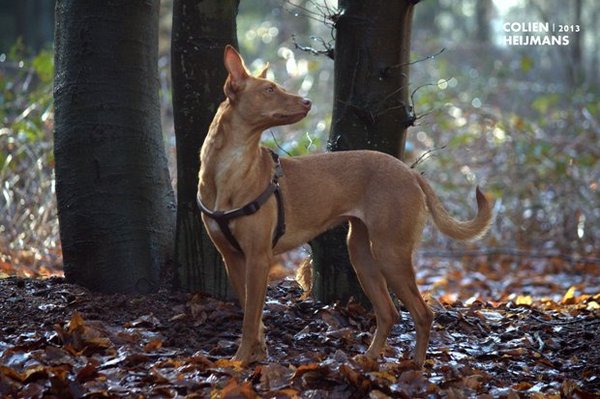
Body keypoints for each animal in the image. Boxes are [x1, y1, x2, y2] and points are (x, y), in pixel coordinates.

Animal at [197, 45, 492, 368]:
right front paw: (257, 355)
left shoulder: (259, 257)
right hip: (361, 253)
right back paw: (370, 357)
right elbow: (252, 314)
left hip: (390, 252)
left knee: (423, 313)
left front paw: (238, 362)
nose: (308, 101)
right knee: (389, 312)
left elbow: (250, 318)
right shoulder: (233, 258)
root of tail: (409, 172)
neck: (229, 170)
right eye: (269, 89)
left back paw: (414, 365)